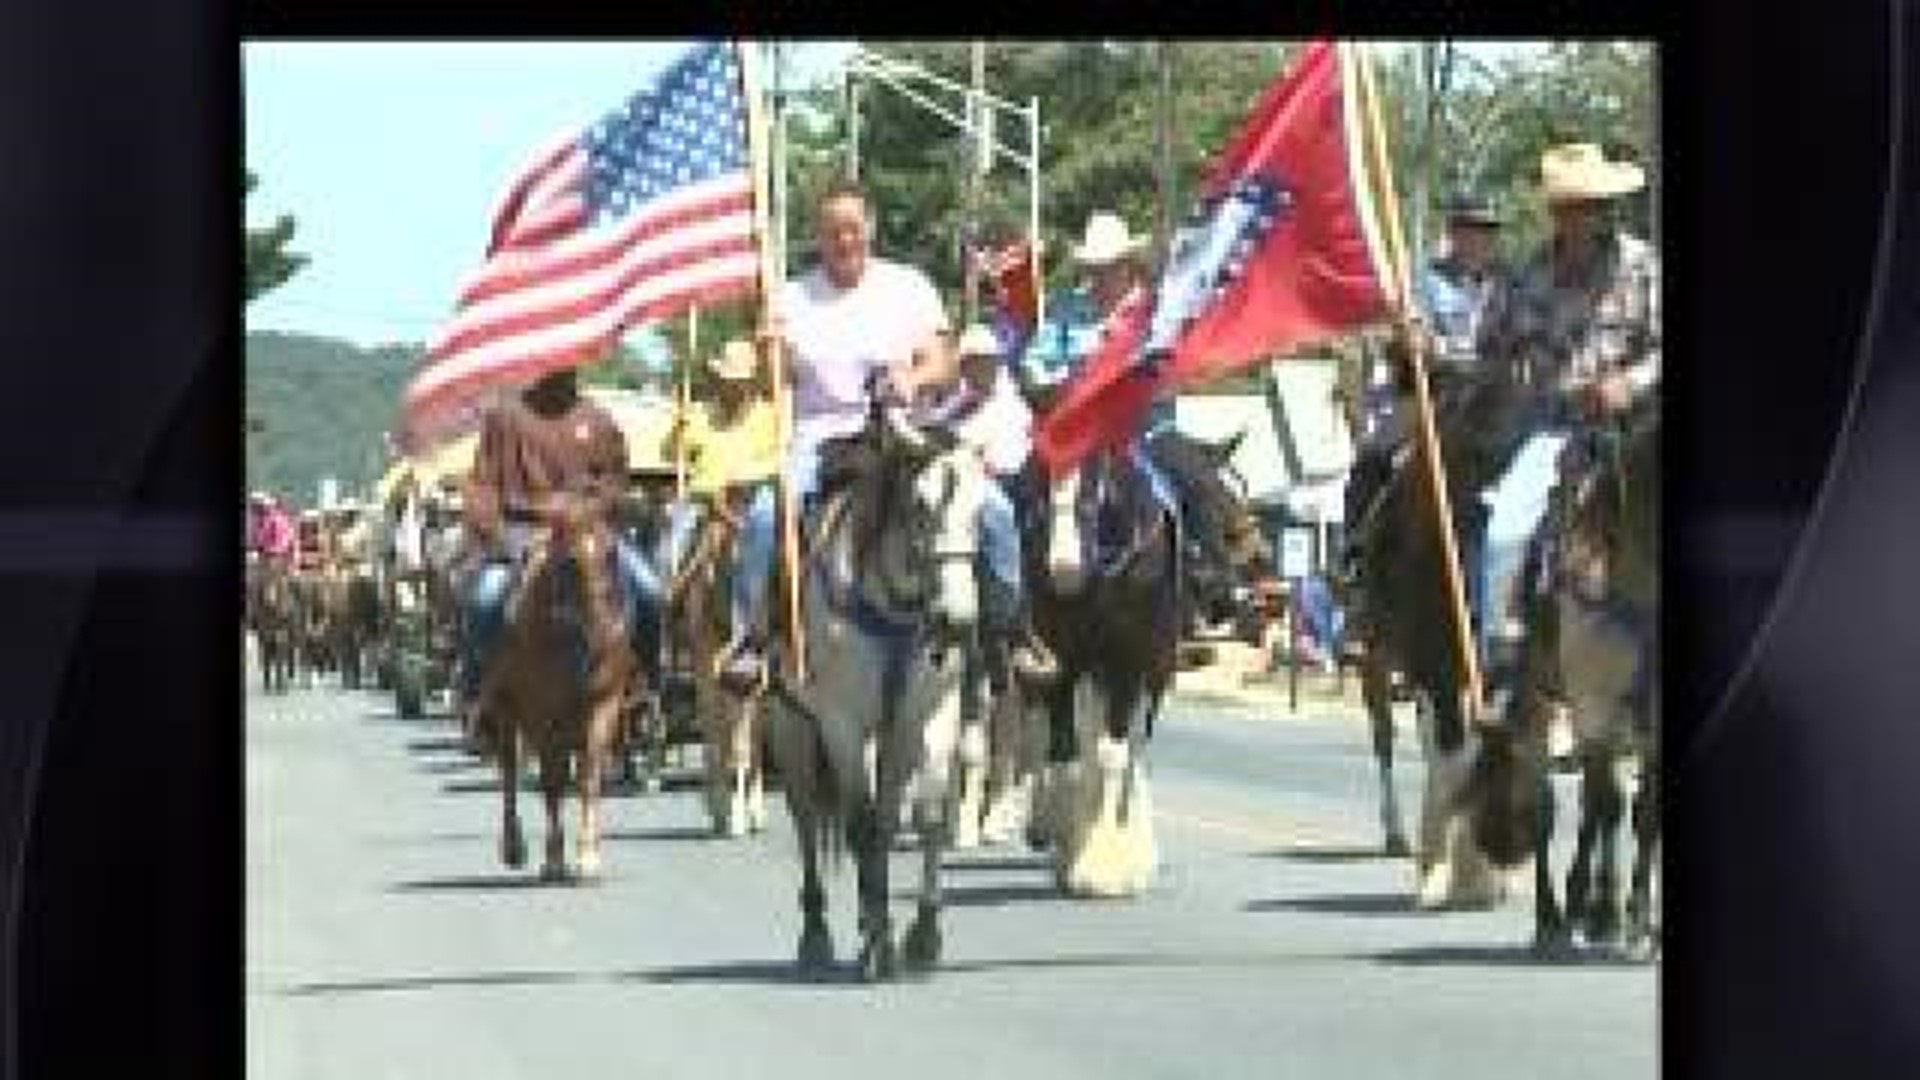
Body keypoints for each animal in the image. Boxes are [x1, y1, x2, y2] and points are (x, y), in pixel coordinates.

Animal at [476, 491, 641, 880]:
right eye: (569, 561)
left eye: (611, 552)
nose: (609, 629)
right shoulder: (541, 713)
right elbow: (551, 782)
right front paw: (553, 857)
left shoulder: (604, 704)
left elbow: (589, 775)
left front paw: (588, 855)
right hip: (506, 712)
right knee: (510, 773)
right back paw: (513, 847)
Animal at [756, 399, 983, 980]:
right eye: (920, 505)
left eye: (979, 508)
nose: (955, 621)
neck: (893, 605)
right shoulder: (841, 724)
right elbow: (858, 825)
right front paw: (879, 942)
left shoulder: (930, 715)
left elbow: (924, 818)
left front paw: (922, 935)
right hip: (791, 727)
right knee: (807, 818)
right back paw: (817, 934)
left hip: (892, 736)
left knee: (884, 817)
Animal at [1466, 407, 1666, 953]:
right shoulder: (1594, 707)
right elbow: (1610, 806)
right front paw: (1610, 914)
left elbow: (1645, 812)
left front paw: (1639, 918)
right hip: (1540, 703)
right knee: (1546, 807)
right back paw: (1554, 918)